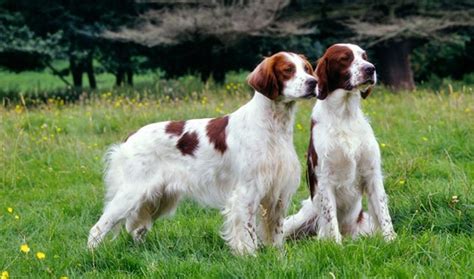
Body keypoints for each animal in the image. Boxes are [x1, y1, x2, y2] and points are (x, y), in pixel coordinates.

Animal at [88, 52, 318, 256]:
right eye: (288, 70)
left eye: (307, 69)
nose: (313, 82)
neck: (273, 126)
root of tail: (130, 137)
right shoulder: (246, 192)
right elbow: (247, 234)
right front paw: (249, 257)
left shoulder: (278, 193)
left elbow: (277, 233)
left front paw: (278, 257)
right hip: (132, 193)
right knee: (99, 227)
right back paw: (92, 256)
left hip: (159, 198)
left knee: (137, 229)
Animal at [284, 43, 398, 243]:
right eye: (345, 58)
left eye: (364, 56)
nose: (371, 68)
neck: (344, 115)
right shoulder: (325, 177)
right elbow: (331, 219)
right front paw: (336, 244)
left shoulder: (372, 173)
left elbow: (383, 211)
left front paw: (391, 239)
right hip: (303, 216)